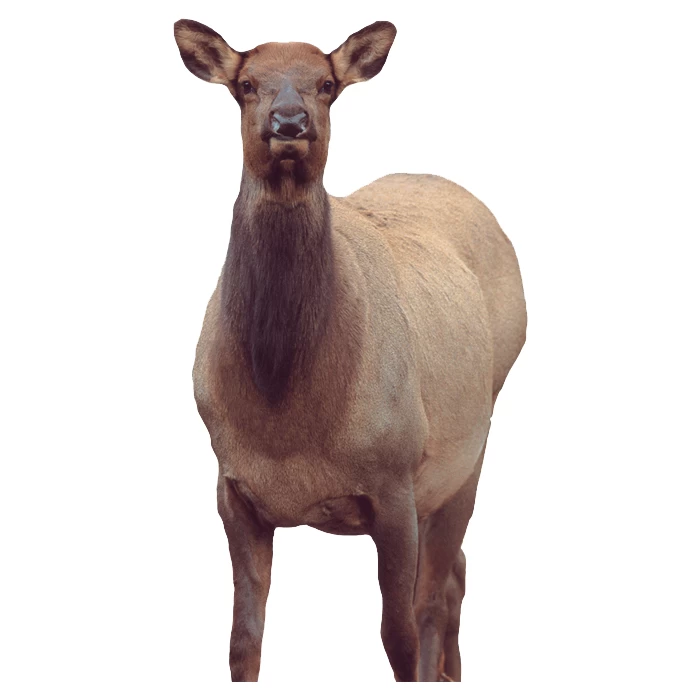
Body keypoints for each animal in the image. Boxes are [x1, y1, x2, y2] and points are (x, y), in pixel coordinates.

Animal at [173, 18, 526, 683]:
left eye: (328, 84)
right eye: (246, 84)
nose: (290, 123)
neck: (287, 422)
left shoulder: (395, 481)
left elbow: (399, 637)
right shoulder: (232, 487)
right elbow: (242, 643)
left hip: (467, 451)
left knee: (437, 593)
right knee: (458, 573)